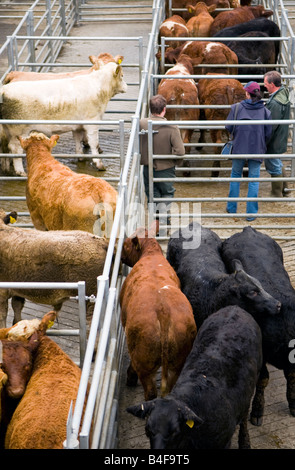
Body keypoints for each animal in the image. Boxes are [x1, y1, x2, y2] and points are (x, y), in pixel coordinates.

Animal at [0, 59, 128, 175]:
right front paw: (100, 165)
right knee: (15, 148)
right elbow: (94, 143)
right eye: (122, 75)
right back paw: (21, 172)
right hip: (18, 130)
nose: (127, 87)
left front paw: (81, 158)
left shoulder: (78, 125)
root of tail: (4, 90)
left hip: (8, 130)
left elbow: (78, 140)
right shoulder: (92, 122)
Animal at [119, 223, 198, 400]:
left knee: (150, 391)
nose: (119, 254)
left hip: (144, 361)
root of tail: (164, 312)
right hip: (178, 361)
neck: (152, 255)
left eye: (126, 245)